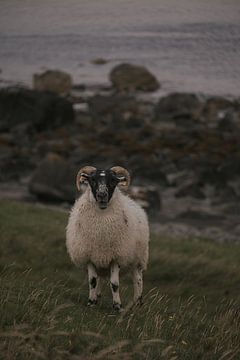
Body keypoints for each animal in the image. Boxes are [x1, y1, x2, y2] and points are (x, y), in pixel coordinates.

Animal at [65, 166, 148, 310]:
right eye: (92, 180)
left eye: (113, 180)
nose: (102, 195)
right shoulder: (90, 256)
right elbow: (92, 281)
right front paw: (91, 302)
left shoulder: (116, 257)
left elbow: (114, 283)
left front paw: (117, 306)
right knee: (99, 279)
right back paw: (97, 297)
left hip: (137, 259)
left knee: (138, 280)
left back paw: (137, 303)